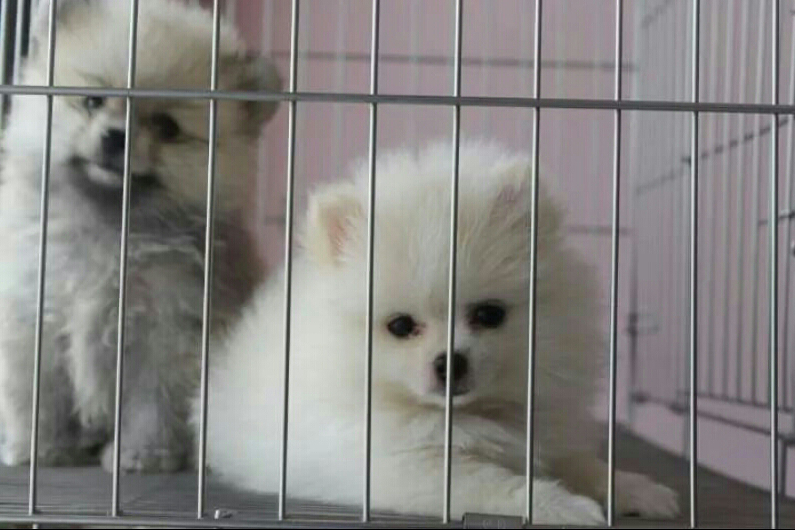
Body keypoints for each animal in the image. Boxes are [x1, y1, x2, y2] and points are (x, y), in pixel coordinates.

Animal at [0, 0, 280, 473]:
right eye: (93, 101)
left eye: (167, 127)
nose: (117, 136)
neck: (110, 229)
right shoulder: (35, 314)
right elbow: (39, 396)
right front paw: (41, 448)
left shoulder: (166, 334)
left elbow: (152, 405)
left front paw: (142, 455)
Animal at [195, 140, 679, 524]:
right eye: (400, 326)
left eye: (489, 314)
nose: (451, 362)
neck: (466, 413)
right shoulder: (401, 465)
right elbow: (495, 484)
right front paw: (561, 506)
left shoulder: (548, 429)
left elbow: (583, 463)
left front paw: (637, 489)